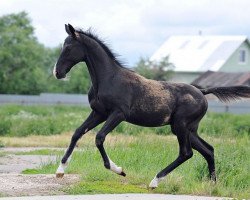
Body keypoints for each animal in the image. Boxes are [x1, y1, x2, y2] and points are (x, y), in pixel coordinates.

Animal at [53, 24, 250, 188]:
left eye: (68, 47)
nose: (57, 72)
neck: (109, 78)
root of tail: (203, 92)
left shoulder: (118, 114)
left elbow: (99, 137)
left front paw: (119, 170)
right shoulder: (98, 113)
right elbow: (77, 133)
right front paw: (60, 170)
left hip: (180, 126)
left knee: (186, 153)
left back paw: (155, 181)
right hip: (188, 129)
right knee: (208, 150)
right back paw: (212, 185)